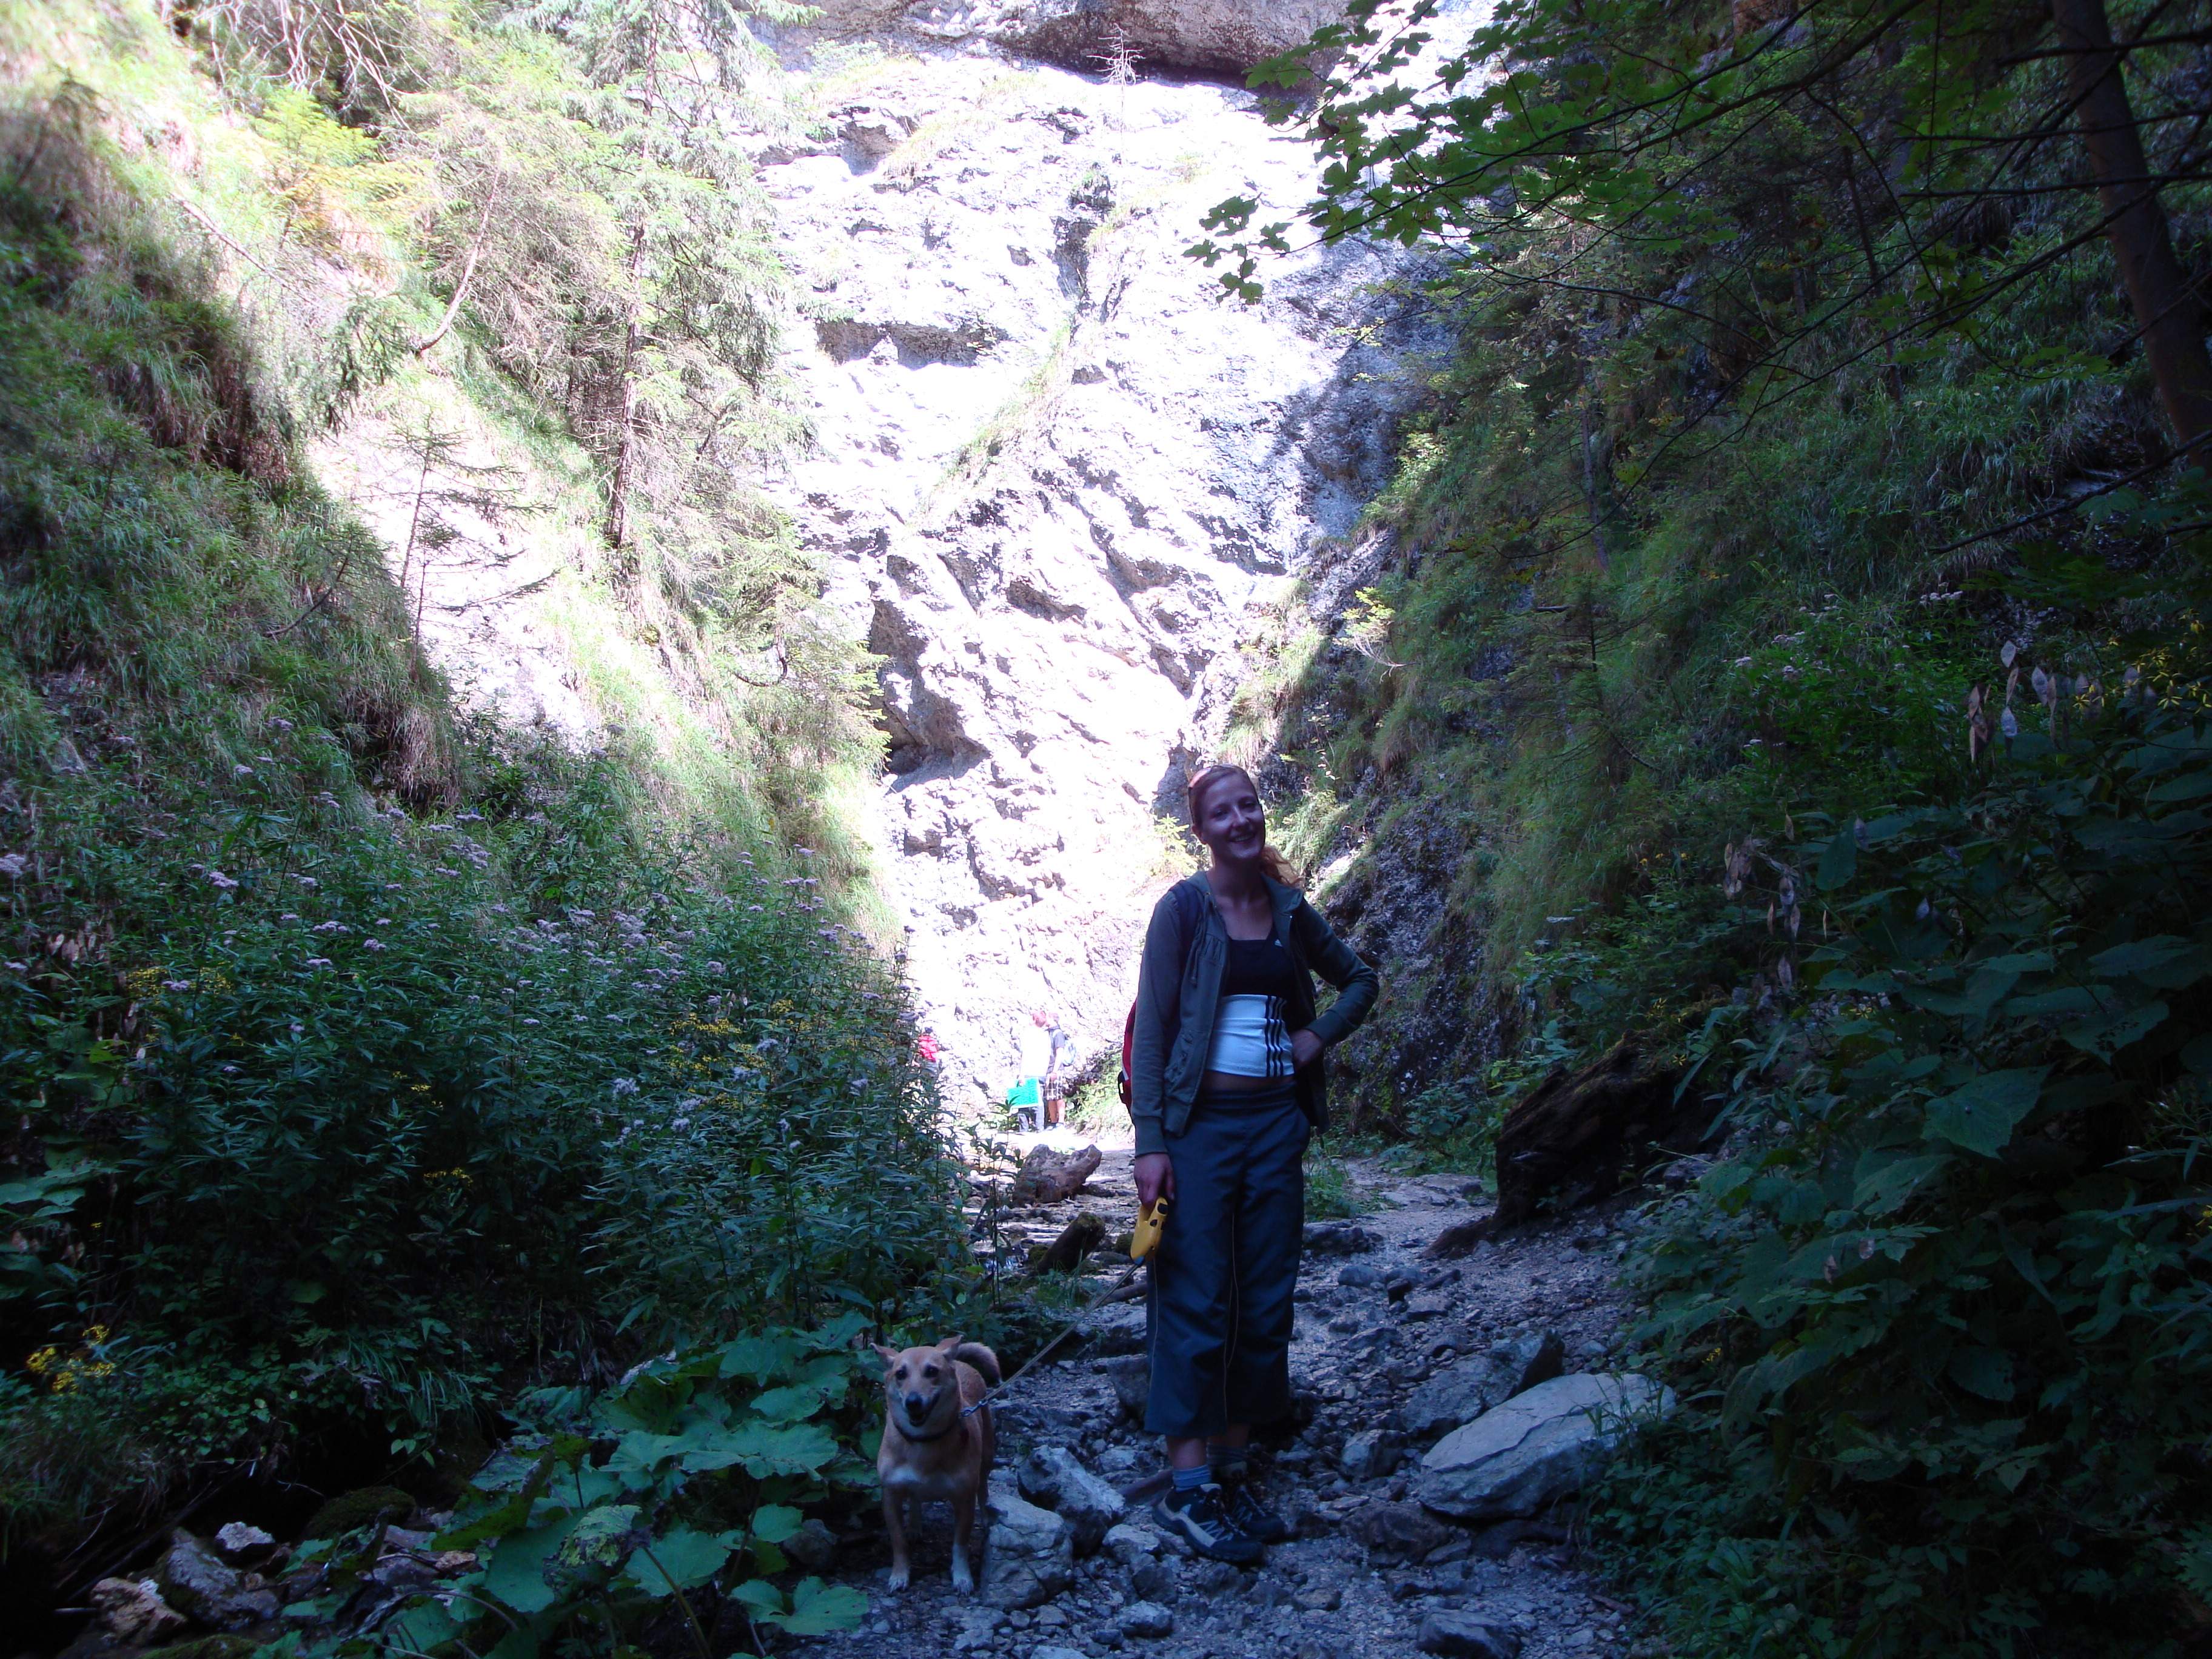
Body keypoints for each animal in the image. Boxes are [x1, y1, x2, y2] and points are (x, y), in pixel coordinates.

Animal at [873, 1334, 1000, 1592]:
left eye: (932, 1371)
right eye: (900, 1374)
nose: (913, 1402)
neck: (923, 1443)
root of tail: (959, 1362)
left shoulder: (964, 1499)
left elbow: (960, 1544)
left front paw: (962, 1577)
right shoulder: (890, 1496)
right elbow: (898, 1542)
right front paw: (900, 1575)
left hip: (987, 1458)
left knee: (983, 1490)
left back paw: (986, 1518)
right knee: (915, 1499)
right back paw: (914, 1526)